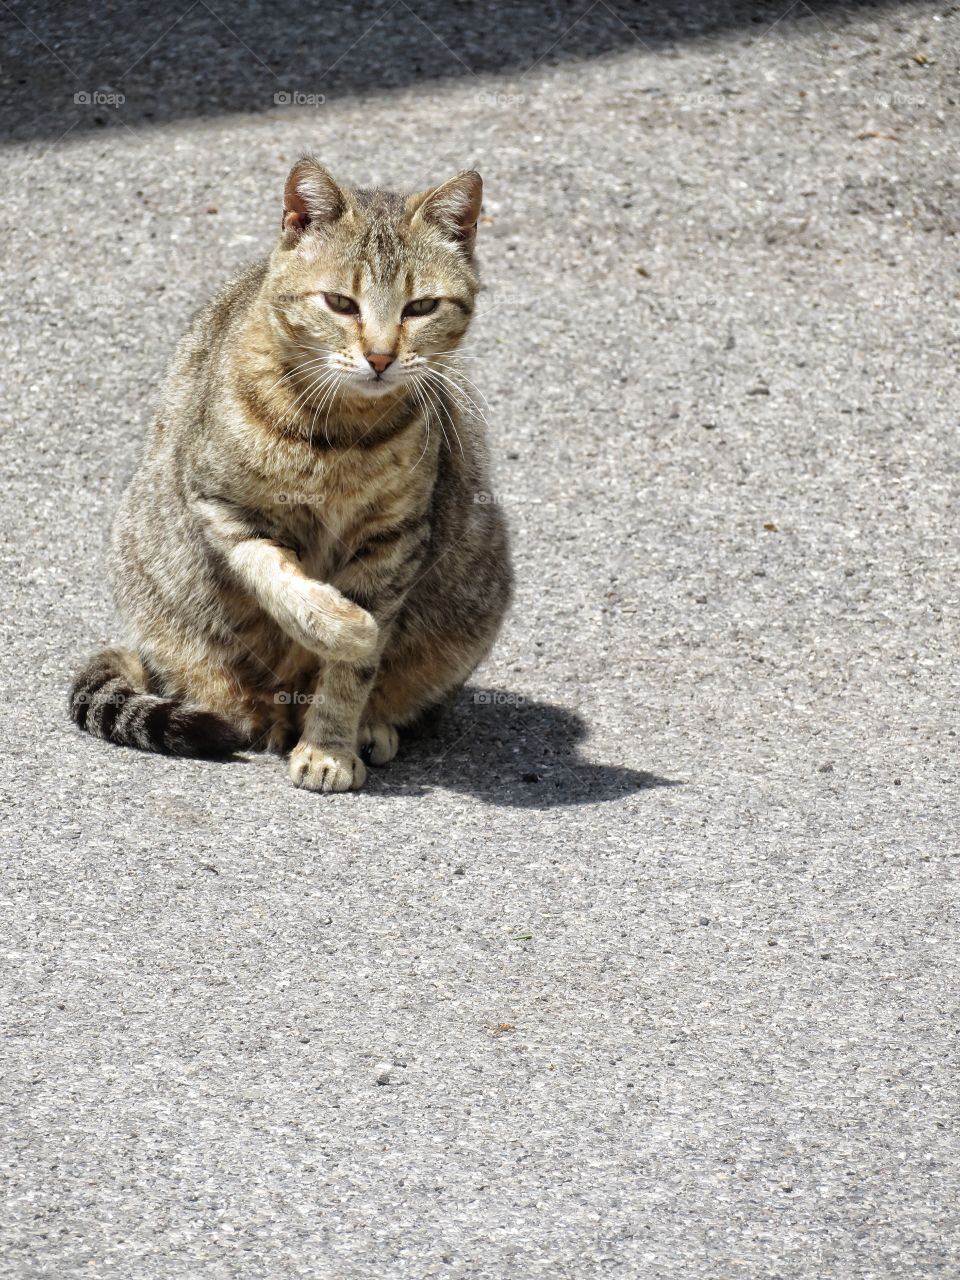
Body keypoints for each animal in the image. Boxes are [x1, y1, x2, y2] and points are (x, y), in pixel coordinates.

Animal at [66, 160, 512, 788]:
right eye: (340, 303)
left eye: (421, 308)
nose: (380, 357)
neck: (343, 439)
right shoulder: (223, 508)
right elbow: (282, 582)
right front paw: (340, 626)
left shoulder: (396, 539)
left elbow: (352, 676)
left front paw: (330, 746)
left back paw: (369, 727)